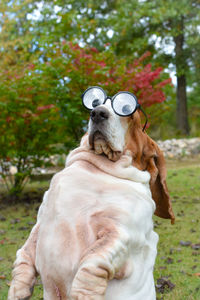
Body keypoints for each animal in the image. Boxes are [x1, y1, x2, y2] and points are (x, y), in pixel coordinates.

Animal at [8, 89, 173, 300]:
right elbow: (24, 254)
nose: (98, 113)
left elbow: (93, 261)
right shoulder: (39, 224)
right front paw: (17, 290)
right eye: (95, 101)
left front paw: (83, 293)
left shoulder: (122, 233)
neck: (100, 169)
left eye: (127, 110)